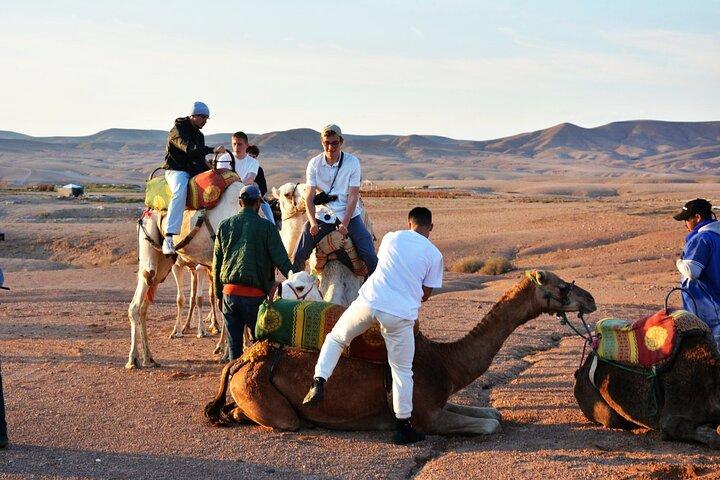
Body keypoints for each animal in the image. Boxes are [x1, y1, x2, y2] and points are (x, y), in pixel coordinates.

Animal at [205, 270, 597, 435]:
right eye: (562, 285)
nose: (590, 299)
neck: (445, 362)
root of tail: (245, 359)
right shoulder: (424, 416)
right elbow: (488, 425)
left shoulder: (438, 400)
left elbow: (492, 413)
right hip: (263, 393)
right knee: (282, 420)